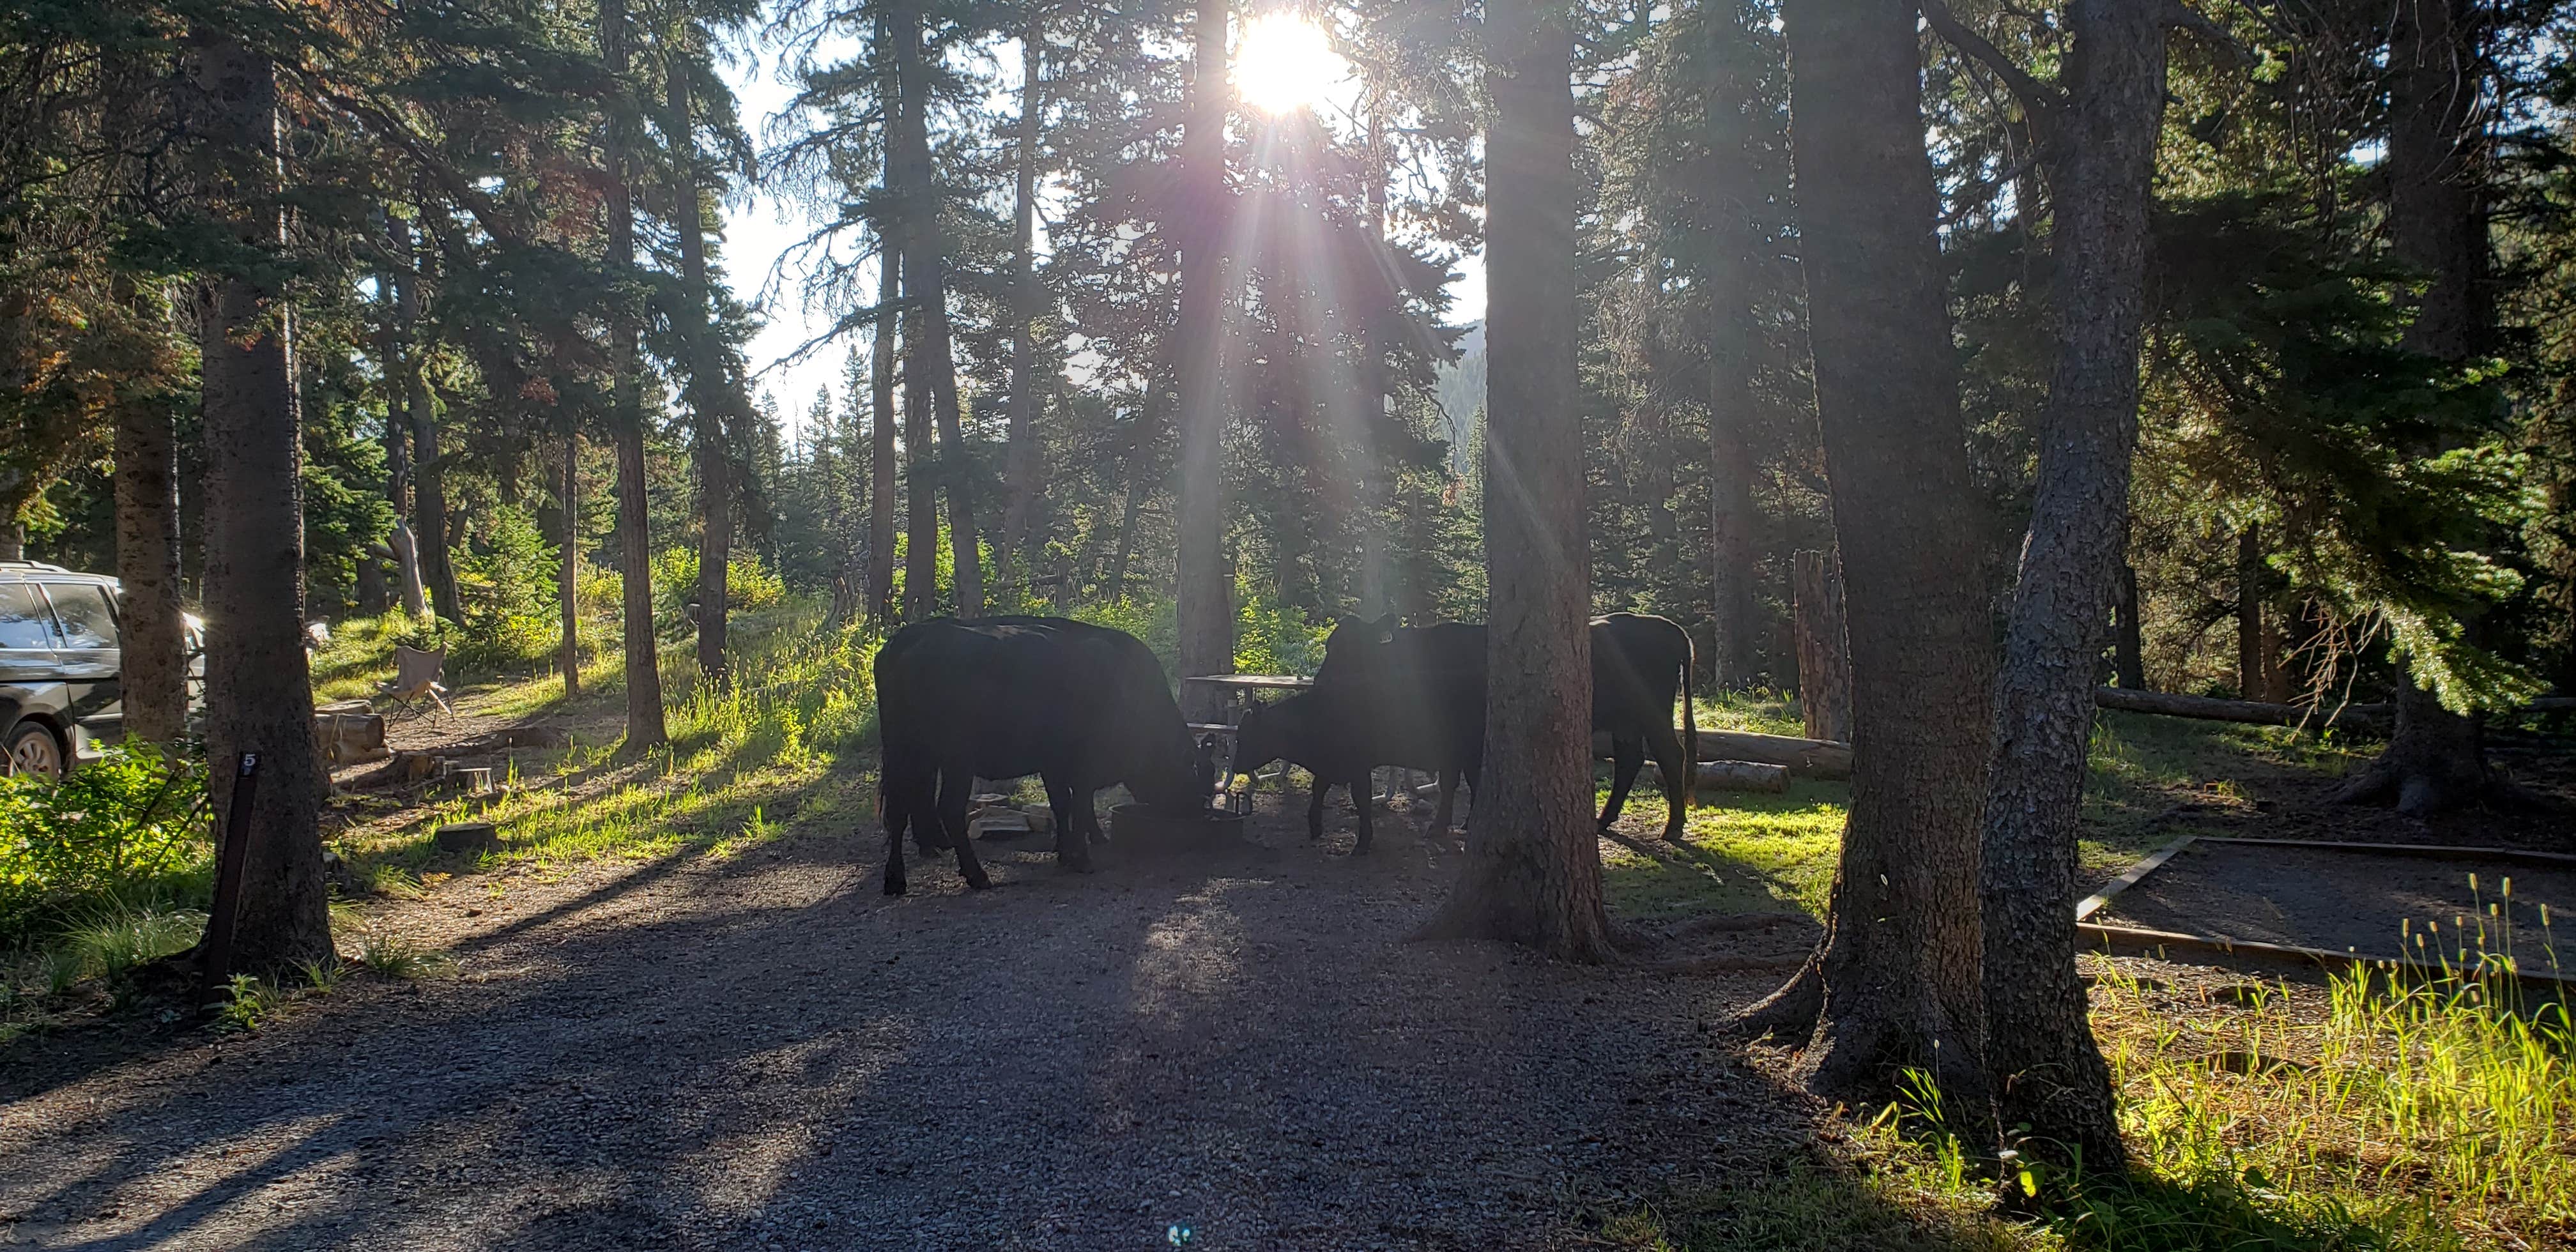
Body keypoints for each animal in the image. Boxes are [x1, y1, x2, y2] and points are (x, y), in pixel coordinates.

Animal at [870, 613, 1211, 891]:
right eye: (1192, 775)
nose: (1197, 811)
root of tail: (906, 644)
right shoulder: (1081, 767)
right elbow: (1079, 804)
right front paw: (1082, 856)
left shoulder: (1053, 765)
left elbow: (1062, 804)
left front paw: (1066, 853)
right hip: (954, 762)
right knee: (947, 808)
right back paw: (977, 875)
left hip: (907, 755)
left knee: (901, 809)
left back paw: (896, 879)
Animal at [1236, 690, 1483, 855]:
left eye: (1248, 735)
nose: (1235, 766)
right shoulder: (1330, 765)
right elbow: (1318, 789)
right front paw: (1315, 826)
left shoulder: (1358, 768)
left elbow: (1362, 801)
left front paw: (1362, 843)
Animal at [1319, 610, 1700, 834]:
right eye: (1330, 645)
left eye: (1350, 650)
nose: (1322, 681)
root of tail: (1670, 628)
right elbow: (1454, 779)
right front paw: (1452, 824)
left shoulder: (1466, 734)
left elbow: (1461, 779)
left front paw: (1457, 825)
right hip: (1625, 721)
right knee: (1630, 760)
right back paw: (1604, 819)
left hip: (1652, 711)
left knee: (1670, 755)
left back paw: (1673, 826)